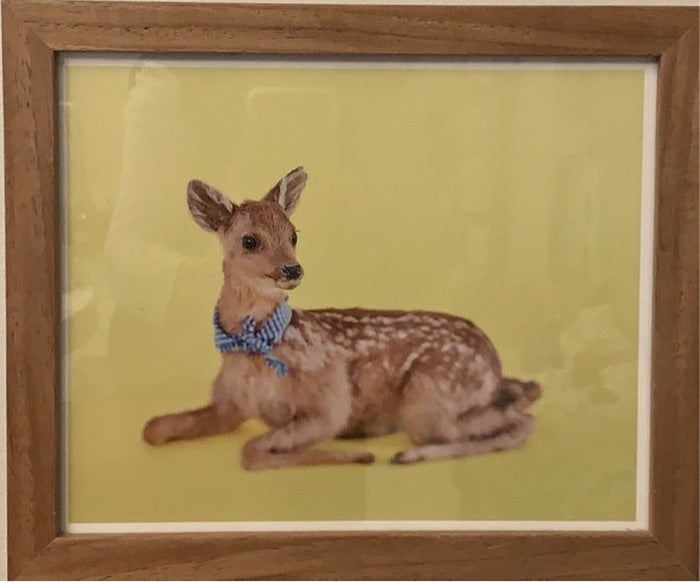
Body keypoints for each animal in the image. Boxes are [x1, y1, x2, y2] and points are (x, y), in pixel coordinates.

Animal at [142, 167, 541, 470]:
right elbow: (153, 428)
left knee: (521, 420)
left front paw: (358, 453)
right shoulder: (230, 405)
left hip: (428, 399)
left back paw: (405, 454)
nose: (292, 269)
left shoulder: (330, 400)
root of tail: (493, 359)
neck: (256, 349)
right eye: (249, 241)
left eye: (293, 235)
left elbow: (251, 451)